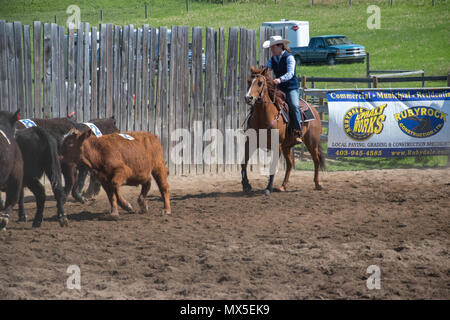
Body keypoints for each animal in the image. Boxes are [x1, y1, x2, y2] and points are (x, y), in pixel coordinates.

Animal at [241, 66, 326, 194]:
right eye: (248, 81)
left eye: (260, 83)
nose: (248, 98)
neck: (264, 117)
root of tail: (314, 109)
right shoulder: (250, 142)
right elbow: (244, 162)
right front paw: (246, 184)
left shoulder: (277, 146)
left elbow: (273, 167)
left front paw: (268, 188)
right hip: (287, 146)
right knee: (290, 163)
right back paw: (283, 186)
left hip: (312, 142)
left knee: (316, 159)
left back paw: (318, 183)